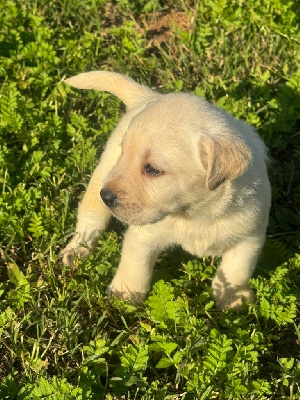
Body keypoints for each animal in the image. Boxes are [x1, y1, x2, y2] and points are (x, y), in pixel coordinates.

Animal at [61, 72, 272, 310]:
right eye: (124, 153)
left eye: (152, 169)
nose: (106, 195)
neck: (197, 214)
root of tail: (150, 96)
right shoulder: (143, 237)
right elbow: (134, 267)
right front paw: (124, 295)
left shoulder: (249, 237)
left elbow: (236, 271)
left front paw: (232, 298)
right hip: (101, 176)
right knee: (90, 220)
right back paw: (76, 251)